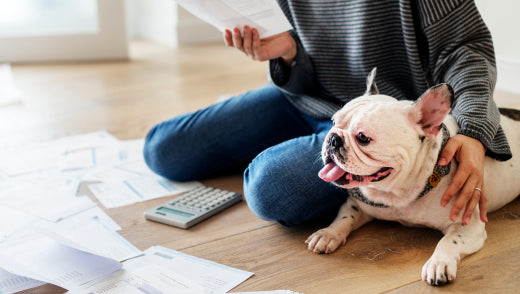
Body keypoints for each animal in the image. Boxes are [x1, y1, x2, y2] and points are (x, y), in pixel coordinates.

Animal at [304, 68, 520, 284]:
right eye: (333, 122)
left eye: (363, 137)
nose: (332, 139)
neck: (397, 193)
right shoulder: (357, 203)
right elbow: (344, 217)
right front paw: (328, 233)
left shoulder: (468, 226)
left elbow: (449, 241)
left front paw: (438, 263)